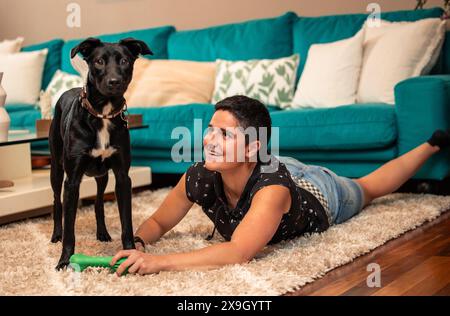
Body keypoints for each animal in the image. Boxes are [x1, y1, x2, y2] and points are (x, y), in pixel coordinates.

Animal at [50, 37, 153, 270]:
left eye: (124, 61)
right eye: (98, 61)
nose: (114, 82)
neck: (102, 114)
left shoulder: (123, 177)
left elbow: (126, 223)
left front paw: (130, 254)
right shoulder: (72, 181)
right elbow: (70, 229)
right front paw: (64, 260)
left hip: (102, 175)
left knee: (98, 203)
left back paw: (102, 233)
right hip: (57, 169)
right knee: (57, 202)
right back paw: (56, 234)